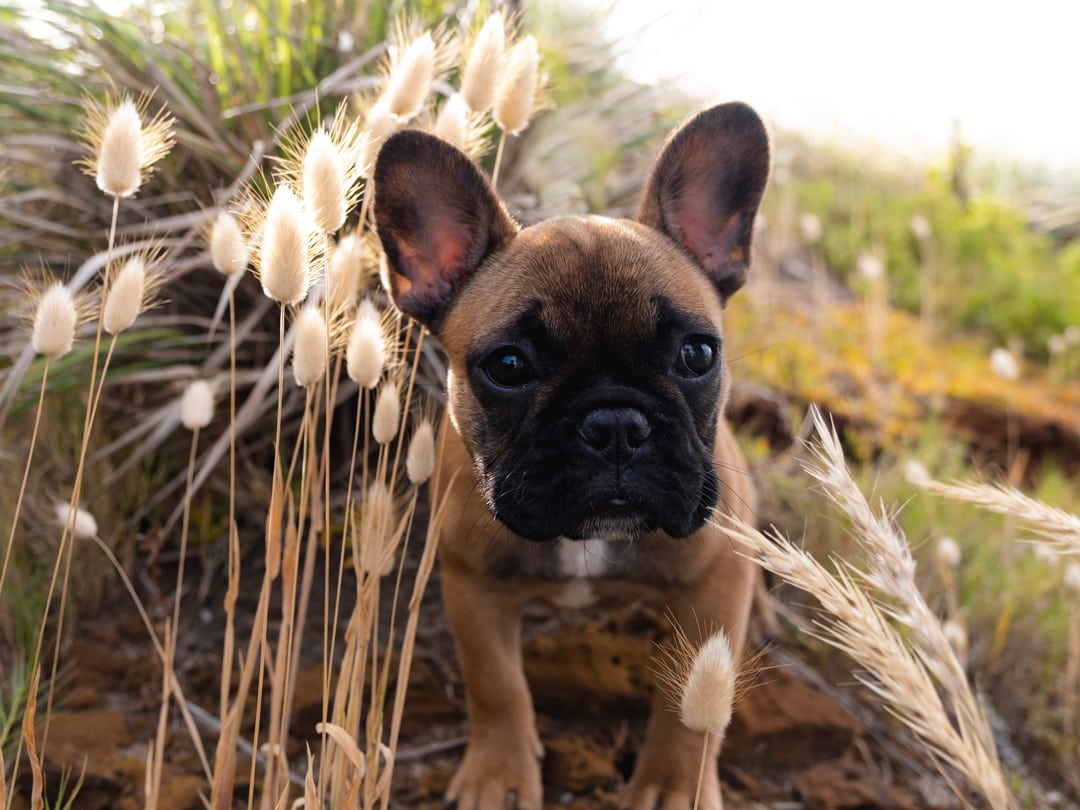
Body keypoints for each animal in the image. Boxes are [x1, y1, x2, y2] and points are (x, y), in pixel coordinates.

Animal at [375, 103, 773, 810]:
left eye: (697, 354)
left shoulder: (714, 585)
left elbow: (689, 711)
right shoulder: (472, 586)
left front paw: (674, 787)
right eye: (508, 366)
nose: (614, 425)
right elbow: (496, 684)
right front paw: (500, 775)